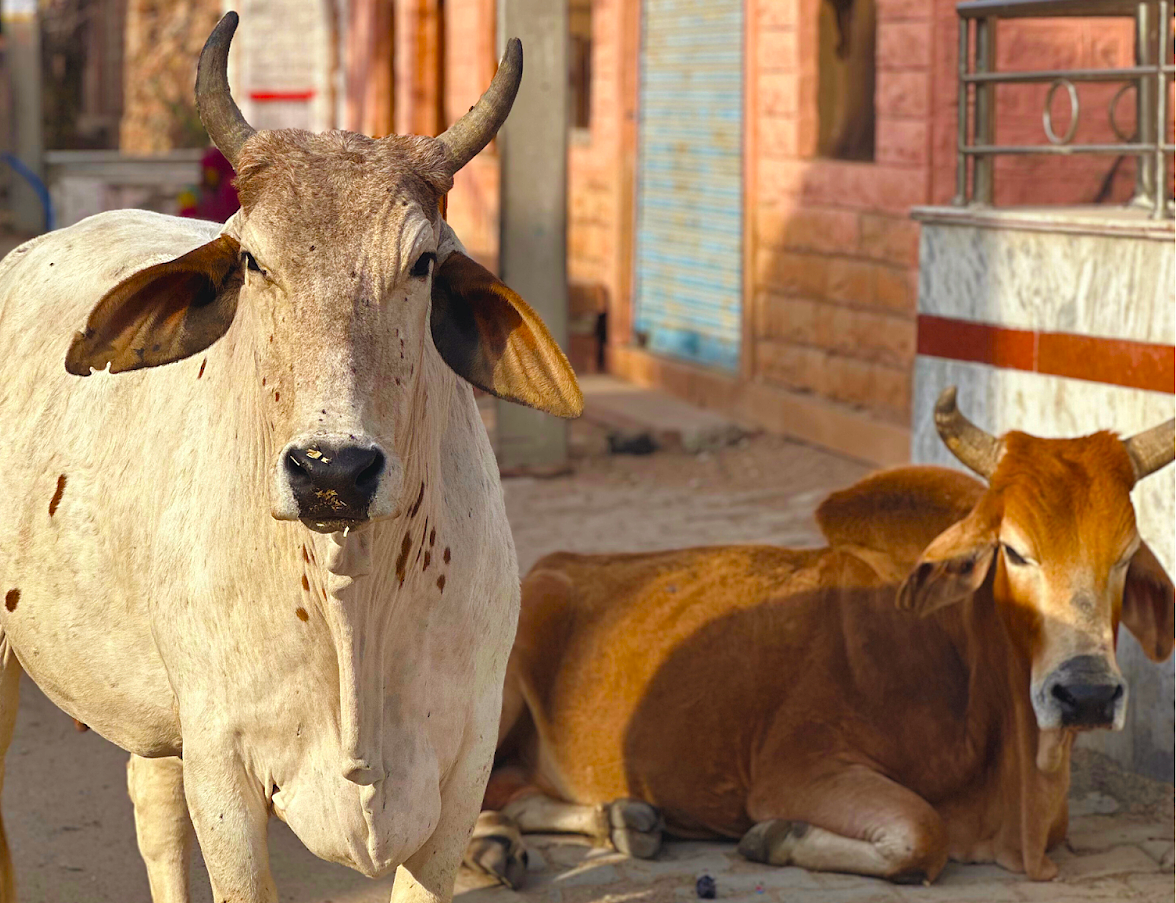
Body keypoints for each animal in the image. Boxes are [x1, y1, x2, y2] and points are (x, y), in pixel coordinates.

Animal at [0, 13, 581, 903]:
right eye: (252, 260)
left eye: (422, 262)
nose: (331, 470)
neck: (350, 595)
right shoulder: (224, 771)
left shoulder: (460, 779)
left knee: (153, 811)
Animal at [464, 388, 1174, 888]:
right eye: (1015, 552)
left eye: (1125, 556)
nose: (1087, 694)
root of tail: (548, 566)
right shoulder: (795, 768)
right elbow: (925, 833)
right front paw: (775, 837)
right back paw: (491, 845)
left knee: (517, 791)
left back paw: (621, 819)